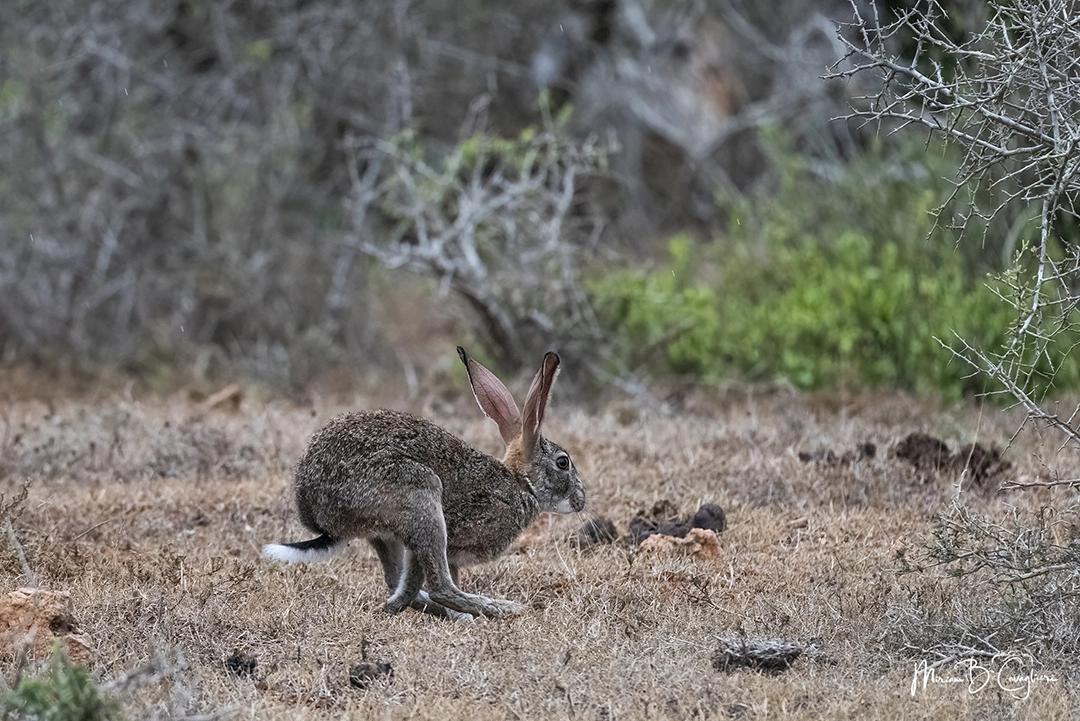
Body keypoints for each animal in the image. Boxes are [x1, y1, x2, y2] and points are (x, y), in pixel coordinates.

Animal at [263, 347, 586, 619]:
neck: (521, 484)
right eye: (563, 462)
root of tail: (315, 509)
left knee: (399, 582)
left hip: (385, 531)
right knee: (439, 587)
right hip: (421, 496)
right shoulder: (449, 533)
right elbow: (431, 579)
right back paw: (501, 609)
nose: (581, 499)